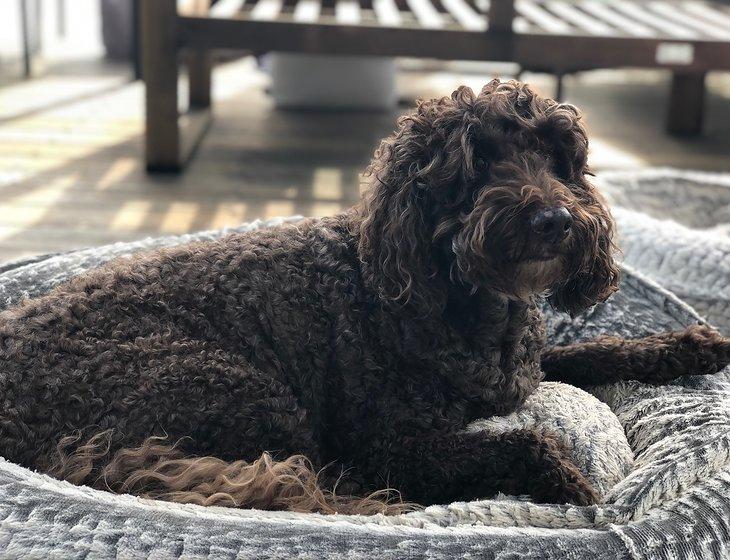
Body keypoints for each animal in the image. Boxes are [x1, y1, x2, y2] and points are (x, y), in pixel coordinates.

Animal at [1, 81, 728, 516]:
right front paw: (580, 491)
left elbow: (598, 349)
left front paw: (690, 344)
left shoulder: (521, 370)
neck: (467, 304)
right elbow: (524, 444)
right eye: (477, 165)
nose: (556, 220)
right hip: (246, 392)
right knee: (319, 482)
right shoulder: (393, 445)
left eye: (557, 159)